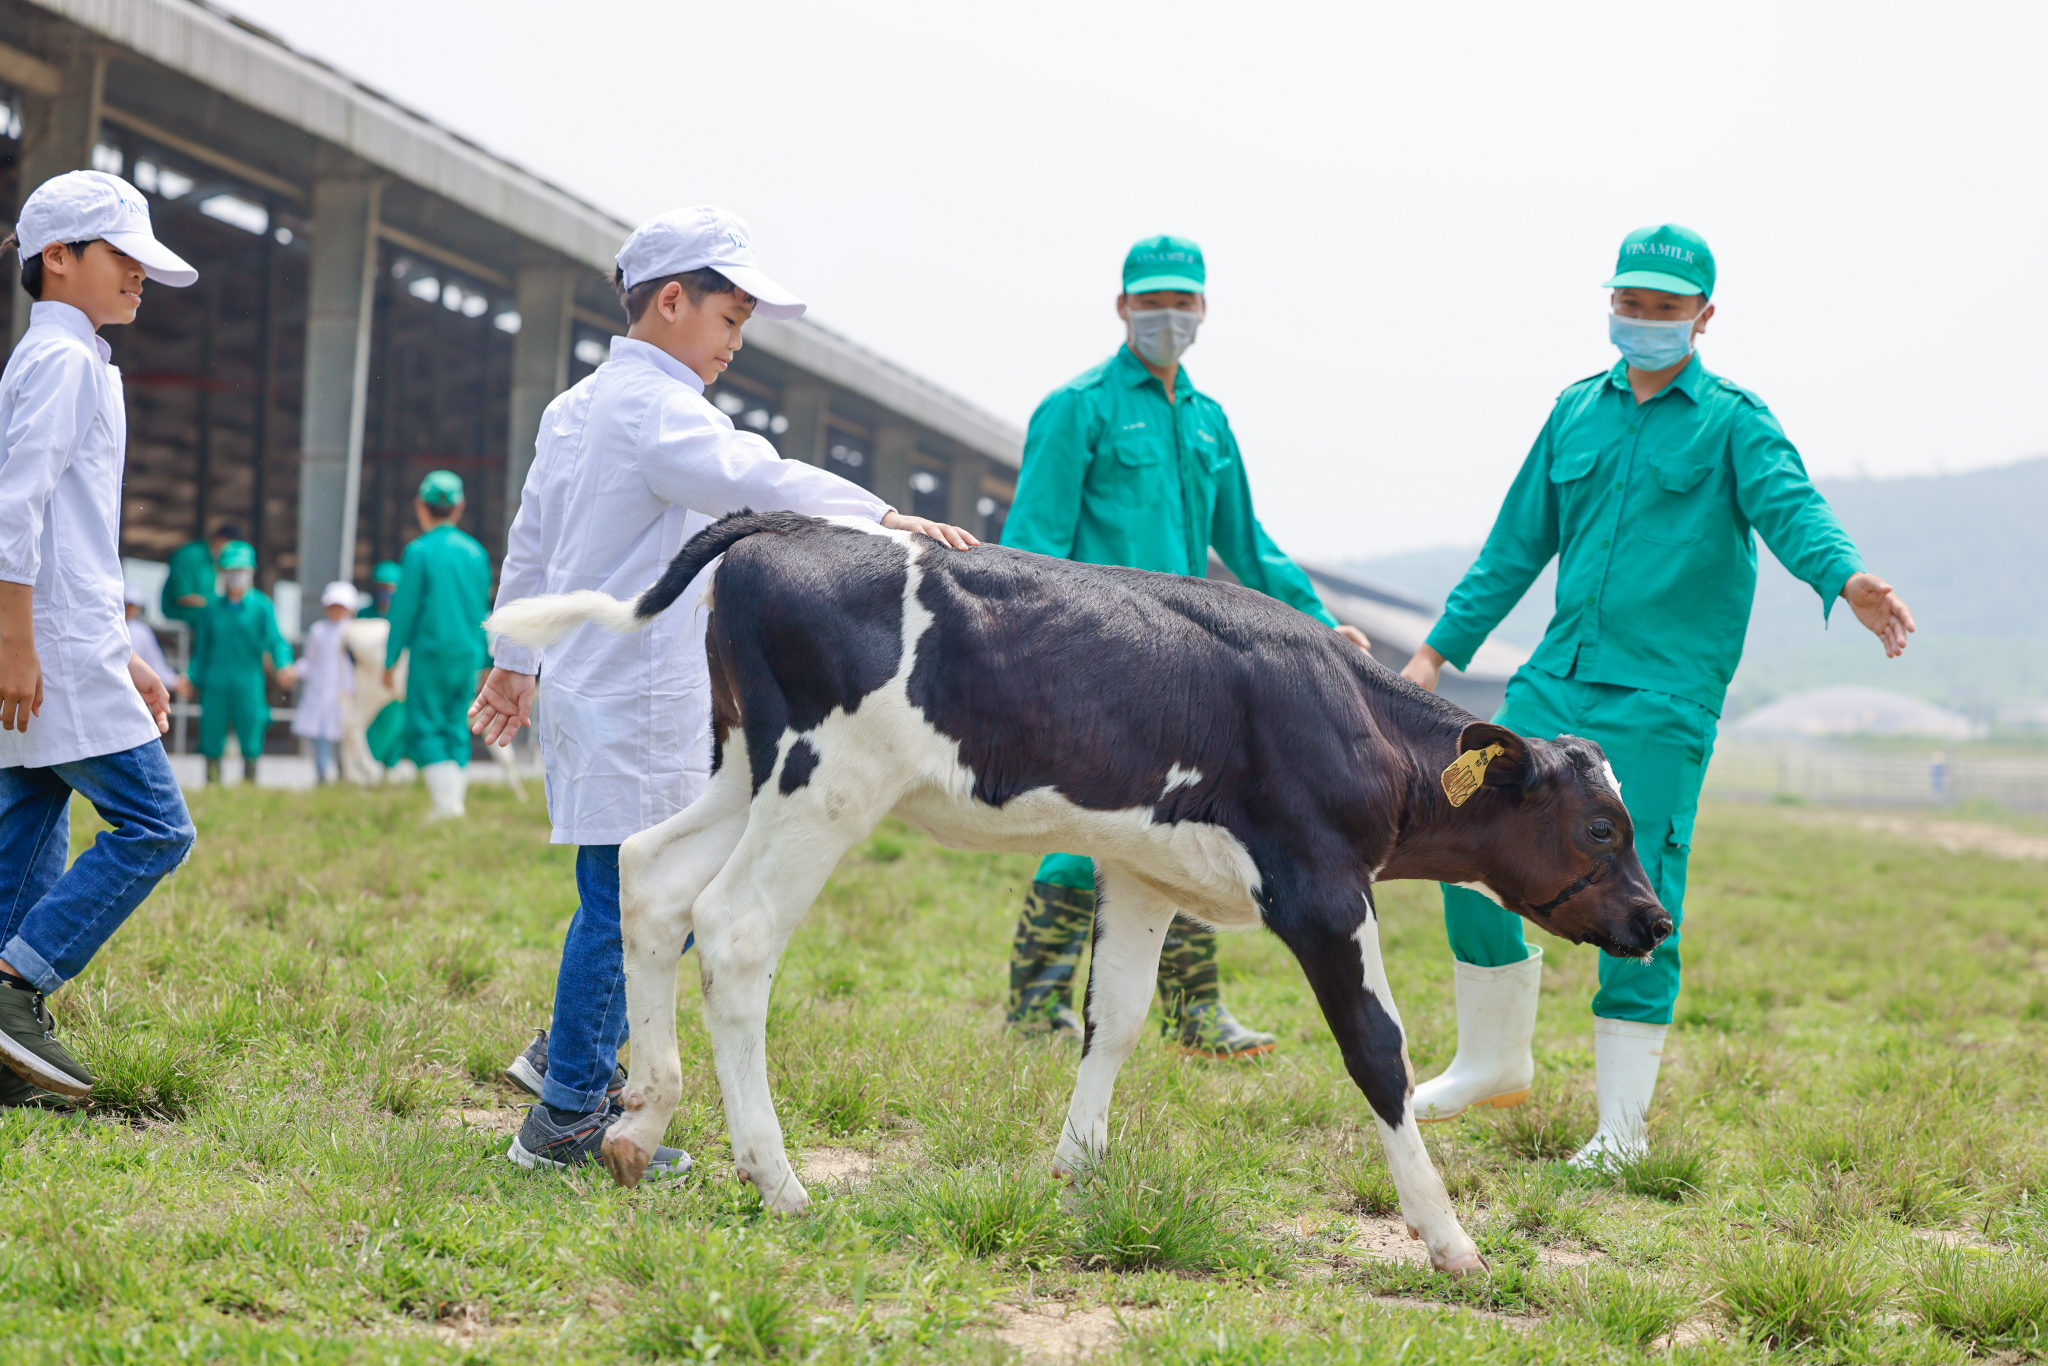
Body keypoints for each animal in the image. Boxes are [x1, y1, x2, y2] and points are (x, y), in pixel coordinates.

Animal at [487, 507, 1671, 1277]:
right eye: (1601, 826)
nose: (1654, 919)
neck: (1351, 716)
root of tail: (785, 528)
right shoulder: (1322, 889)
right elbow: (1377, 1052)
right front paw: (1448, 1237)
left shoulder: (1145, 869)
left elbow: (1117, 1018)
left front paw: (1078, 1169)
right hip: (825, 785)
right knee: (732, 933)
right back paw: (776, 1179)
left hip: (746, 766)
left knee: (650, 878)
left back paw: (640, 1123)